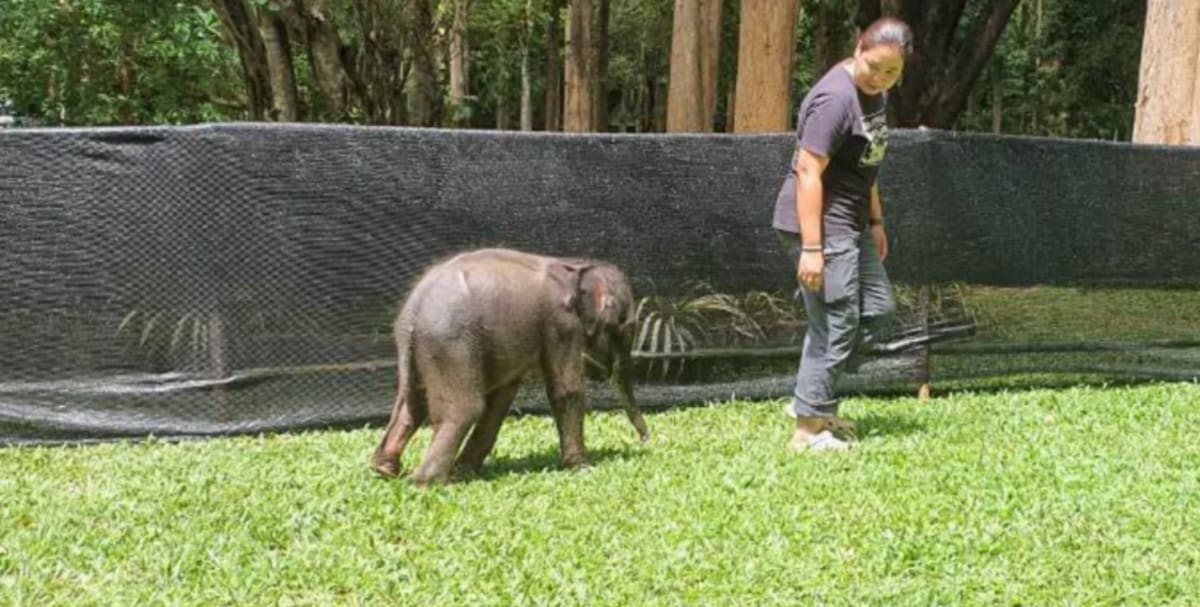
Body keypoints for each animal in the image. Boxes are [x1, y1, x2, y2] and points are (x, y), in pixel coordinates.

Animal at [369, 247, 650, 485]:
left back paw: (385, 470)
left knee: (411, 407)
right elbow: (566, 391)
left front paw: (465, 469)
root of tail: (414, 309)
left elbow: (500, 400)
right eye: (625, 328)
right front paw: (582, 468)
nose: (646, 440)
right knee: (464, 409)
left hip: (422, 351)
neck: (575, 268)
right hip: (451, 346)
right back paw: (427, 483)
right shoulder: (560, 324)